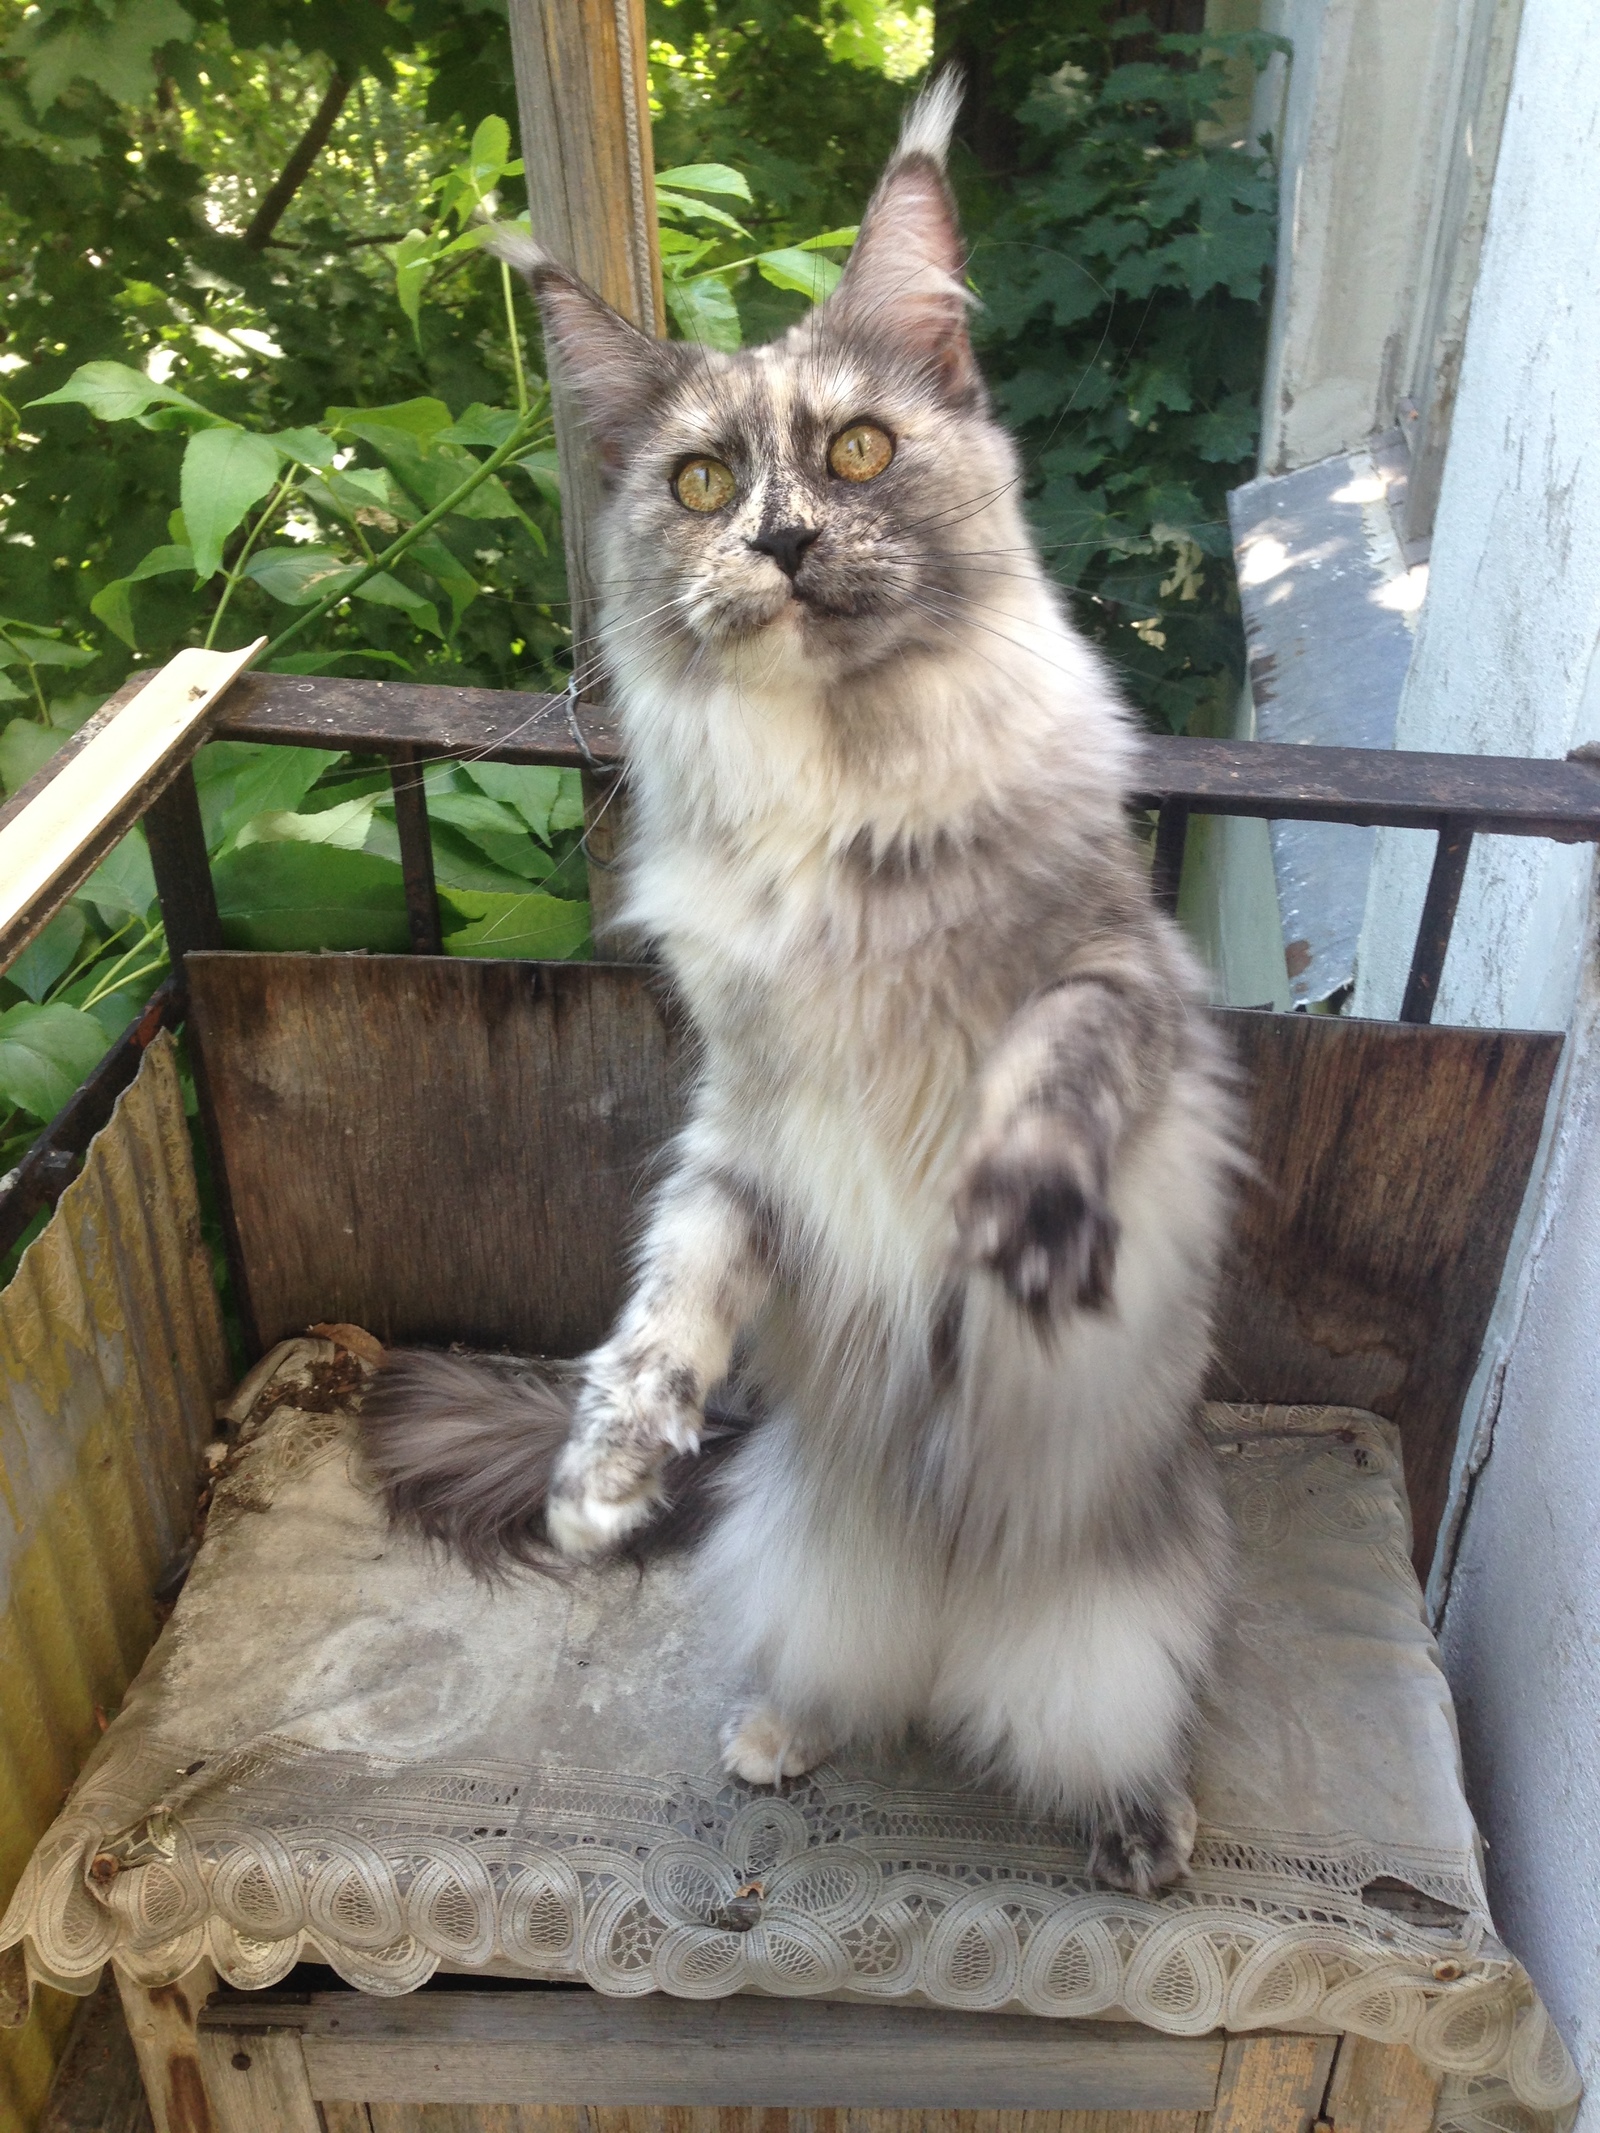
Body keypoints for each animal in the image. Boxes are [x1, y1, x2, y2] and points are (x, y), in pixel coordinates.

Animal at [362, 75, 1237, 1894]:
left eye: (856, 452)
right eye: (701, 483)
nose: (778, 538)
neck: (848, 809)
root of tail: (951, 1605)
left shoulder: (1124, 977)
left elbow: (1049, 1074)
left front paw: (1020, 1216)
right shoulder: (744, 1133)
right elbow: (665, 1310)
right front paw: (607, 1473)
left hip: (1123, 1624)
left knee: (1111, 1725)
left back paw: (1139, 1821)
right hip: (805, 1560)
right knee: (849, 1676)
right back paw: (784, 1730)